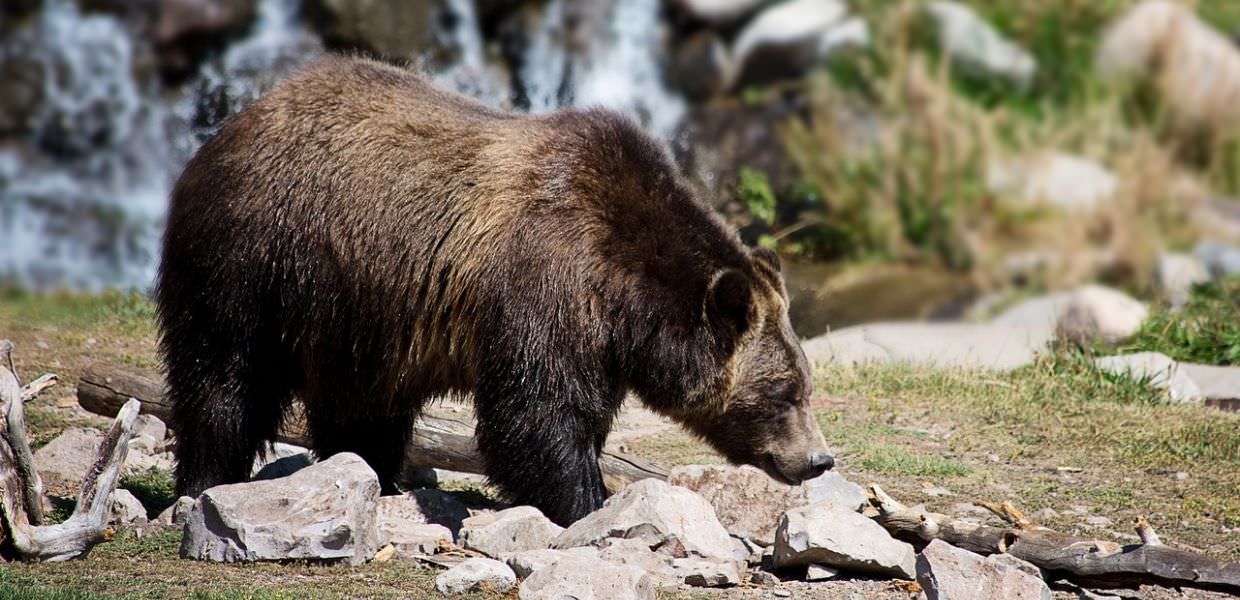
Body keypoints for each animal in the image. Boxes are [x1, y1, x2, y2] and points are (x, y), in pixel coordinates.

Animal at [156, 56, 832, 526]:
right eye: (787, 393)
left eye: (804, 383)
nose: (818, 459)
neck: (625, 295)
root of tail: (232, 124)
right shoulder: (547, 280)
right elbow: (536, 413)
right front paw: (587, 501)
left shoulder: (598, 338)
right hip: (256, 258)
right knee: (225, 376)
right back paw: (205, 480)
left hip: (356, 310)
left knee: (362, 404)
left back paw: (375, 474)